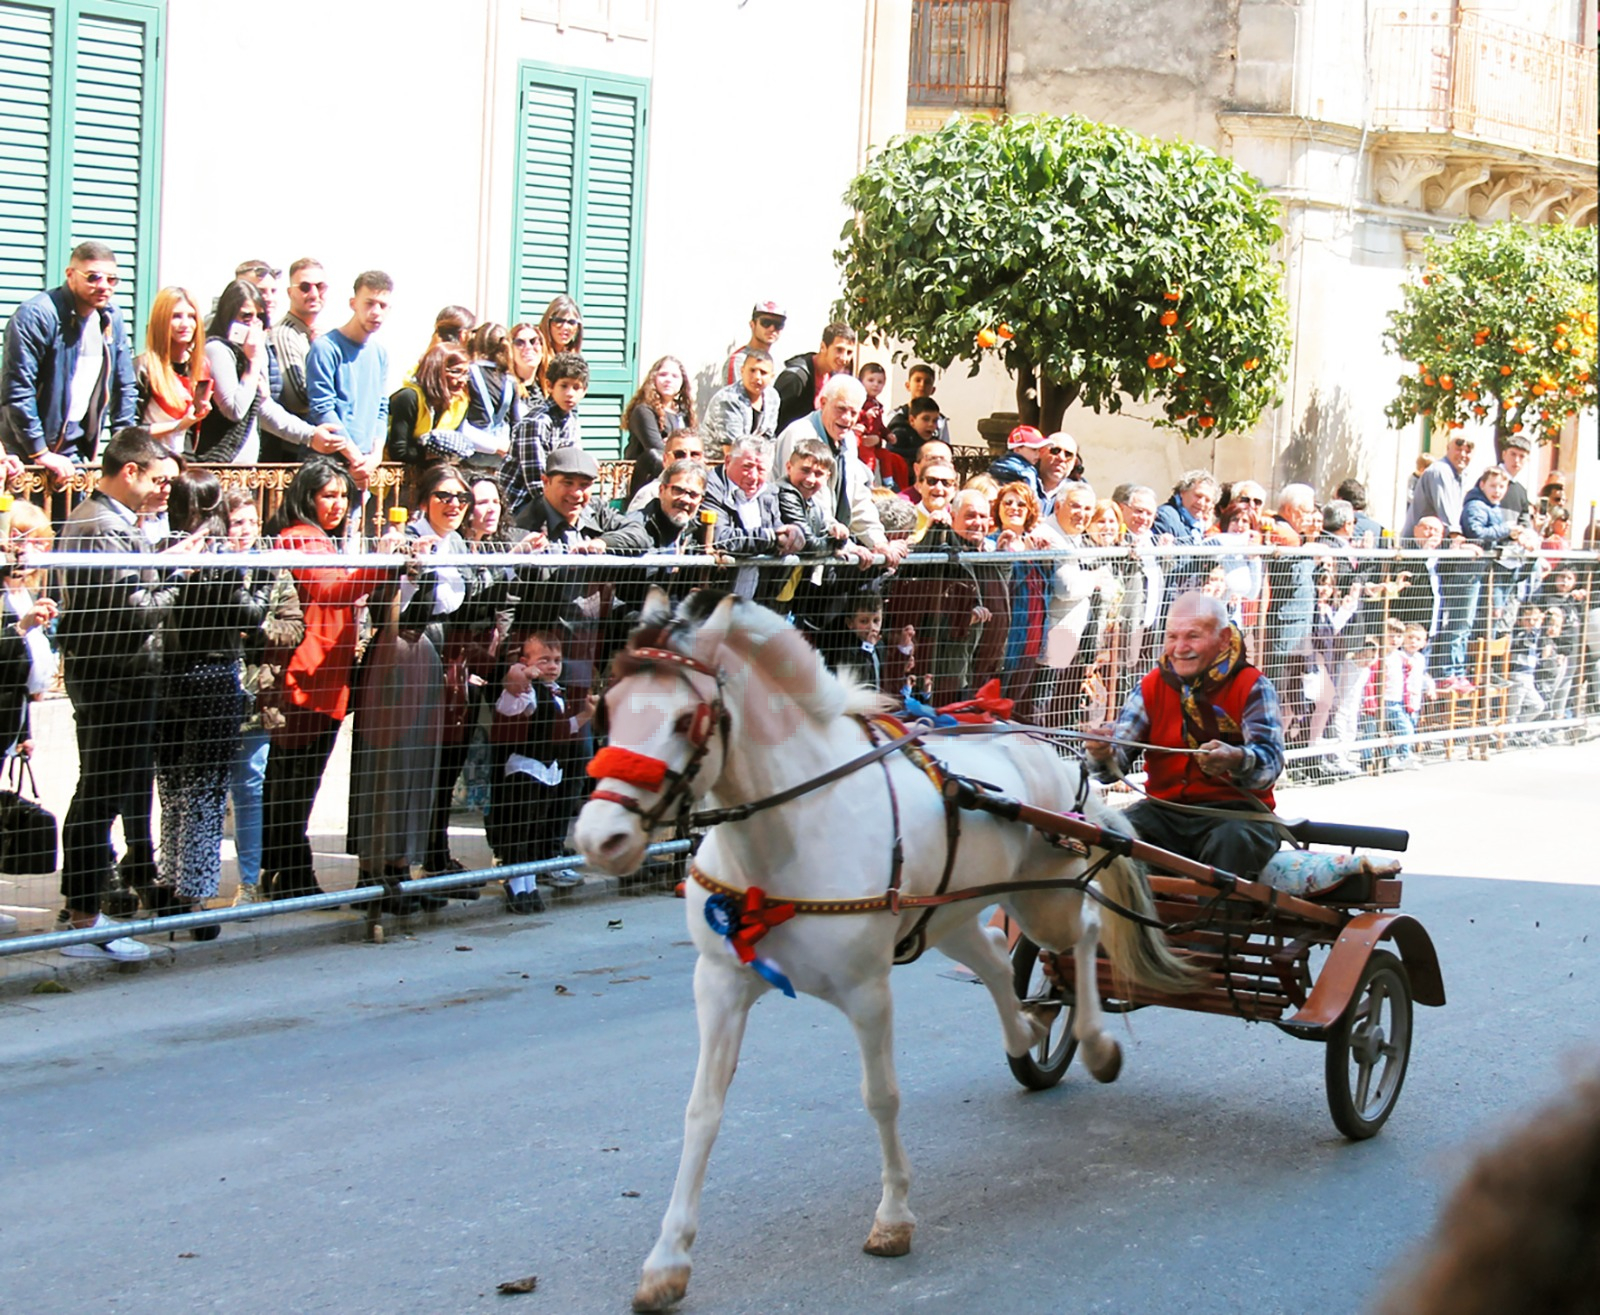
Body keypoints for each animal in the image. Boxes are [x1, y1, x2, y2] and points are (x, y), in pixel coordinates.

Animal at [572, 598, 1190, 1315]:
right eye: (608, 709)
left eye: (682, 719)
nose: (600, 838)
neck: (789, 836)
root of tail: (1053, 754)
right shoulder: (720, 982)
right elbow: (702, 1111)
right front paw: (667, 1259)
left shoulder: (867, 991)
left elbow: (881, 1097)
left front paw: (893, 1216)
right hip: (949, 909)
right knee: (990, 958)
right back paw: (1026, 1030)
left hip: (1048, 898)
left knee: (1083, 934)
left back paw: (1091, 1041)